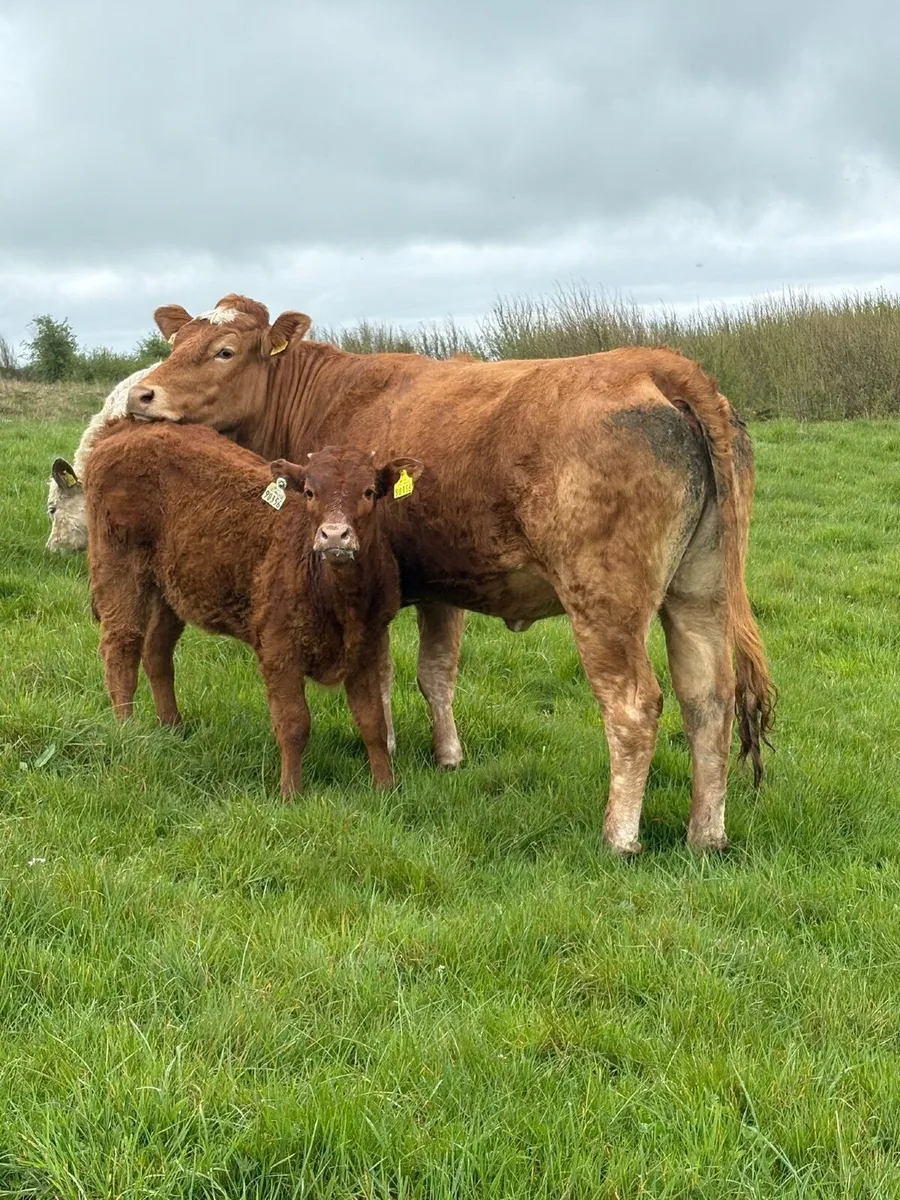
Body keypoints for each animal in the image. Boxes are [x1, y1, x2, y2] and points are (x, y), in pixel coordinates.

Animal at [83, 417, 423, 795]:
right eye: (310, 492)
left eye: (368, 492)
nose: (334, 535)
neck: (339, 598)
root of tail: (125, 428)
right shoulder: (278, 648)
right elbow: (294, 723)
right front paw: (291, 792)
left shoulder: (367, 645)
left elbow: (372, 721)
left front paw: (386, 787)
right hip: (119, 566)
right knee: (122, 647)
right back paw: (126, 728)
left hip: (170, 587)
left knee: (157, 651)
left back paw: (172, 727)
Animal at [126, 294, 775, 854]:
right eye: (176, 340)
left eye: (224, 350)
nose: (142, 396)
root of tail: (654, 363)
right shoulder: (442, 585)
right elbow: (435, 673)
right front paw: (448, 757)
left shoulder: (373, 586)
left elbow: (381, 676)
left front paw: (384, 750)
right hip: (700, 589)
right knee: (708, 699)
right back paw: (705, 836)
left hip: (605, 600)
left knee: (635, 706)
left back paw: (619, 838)